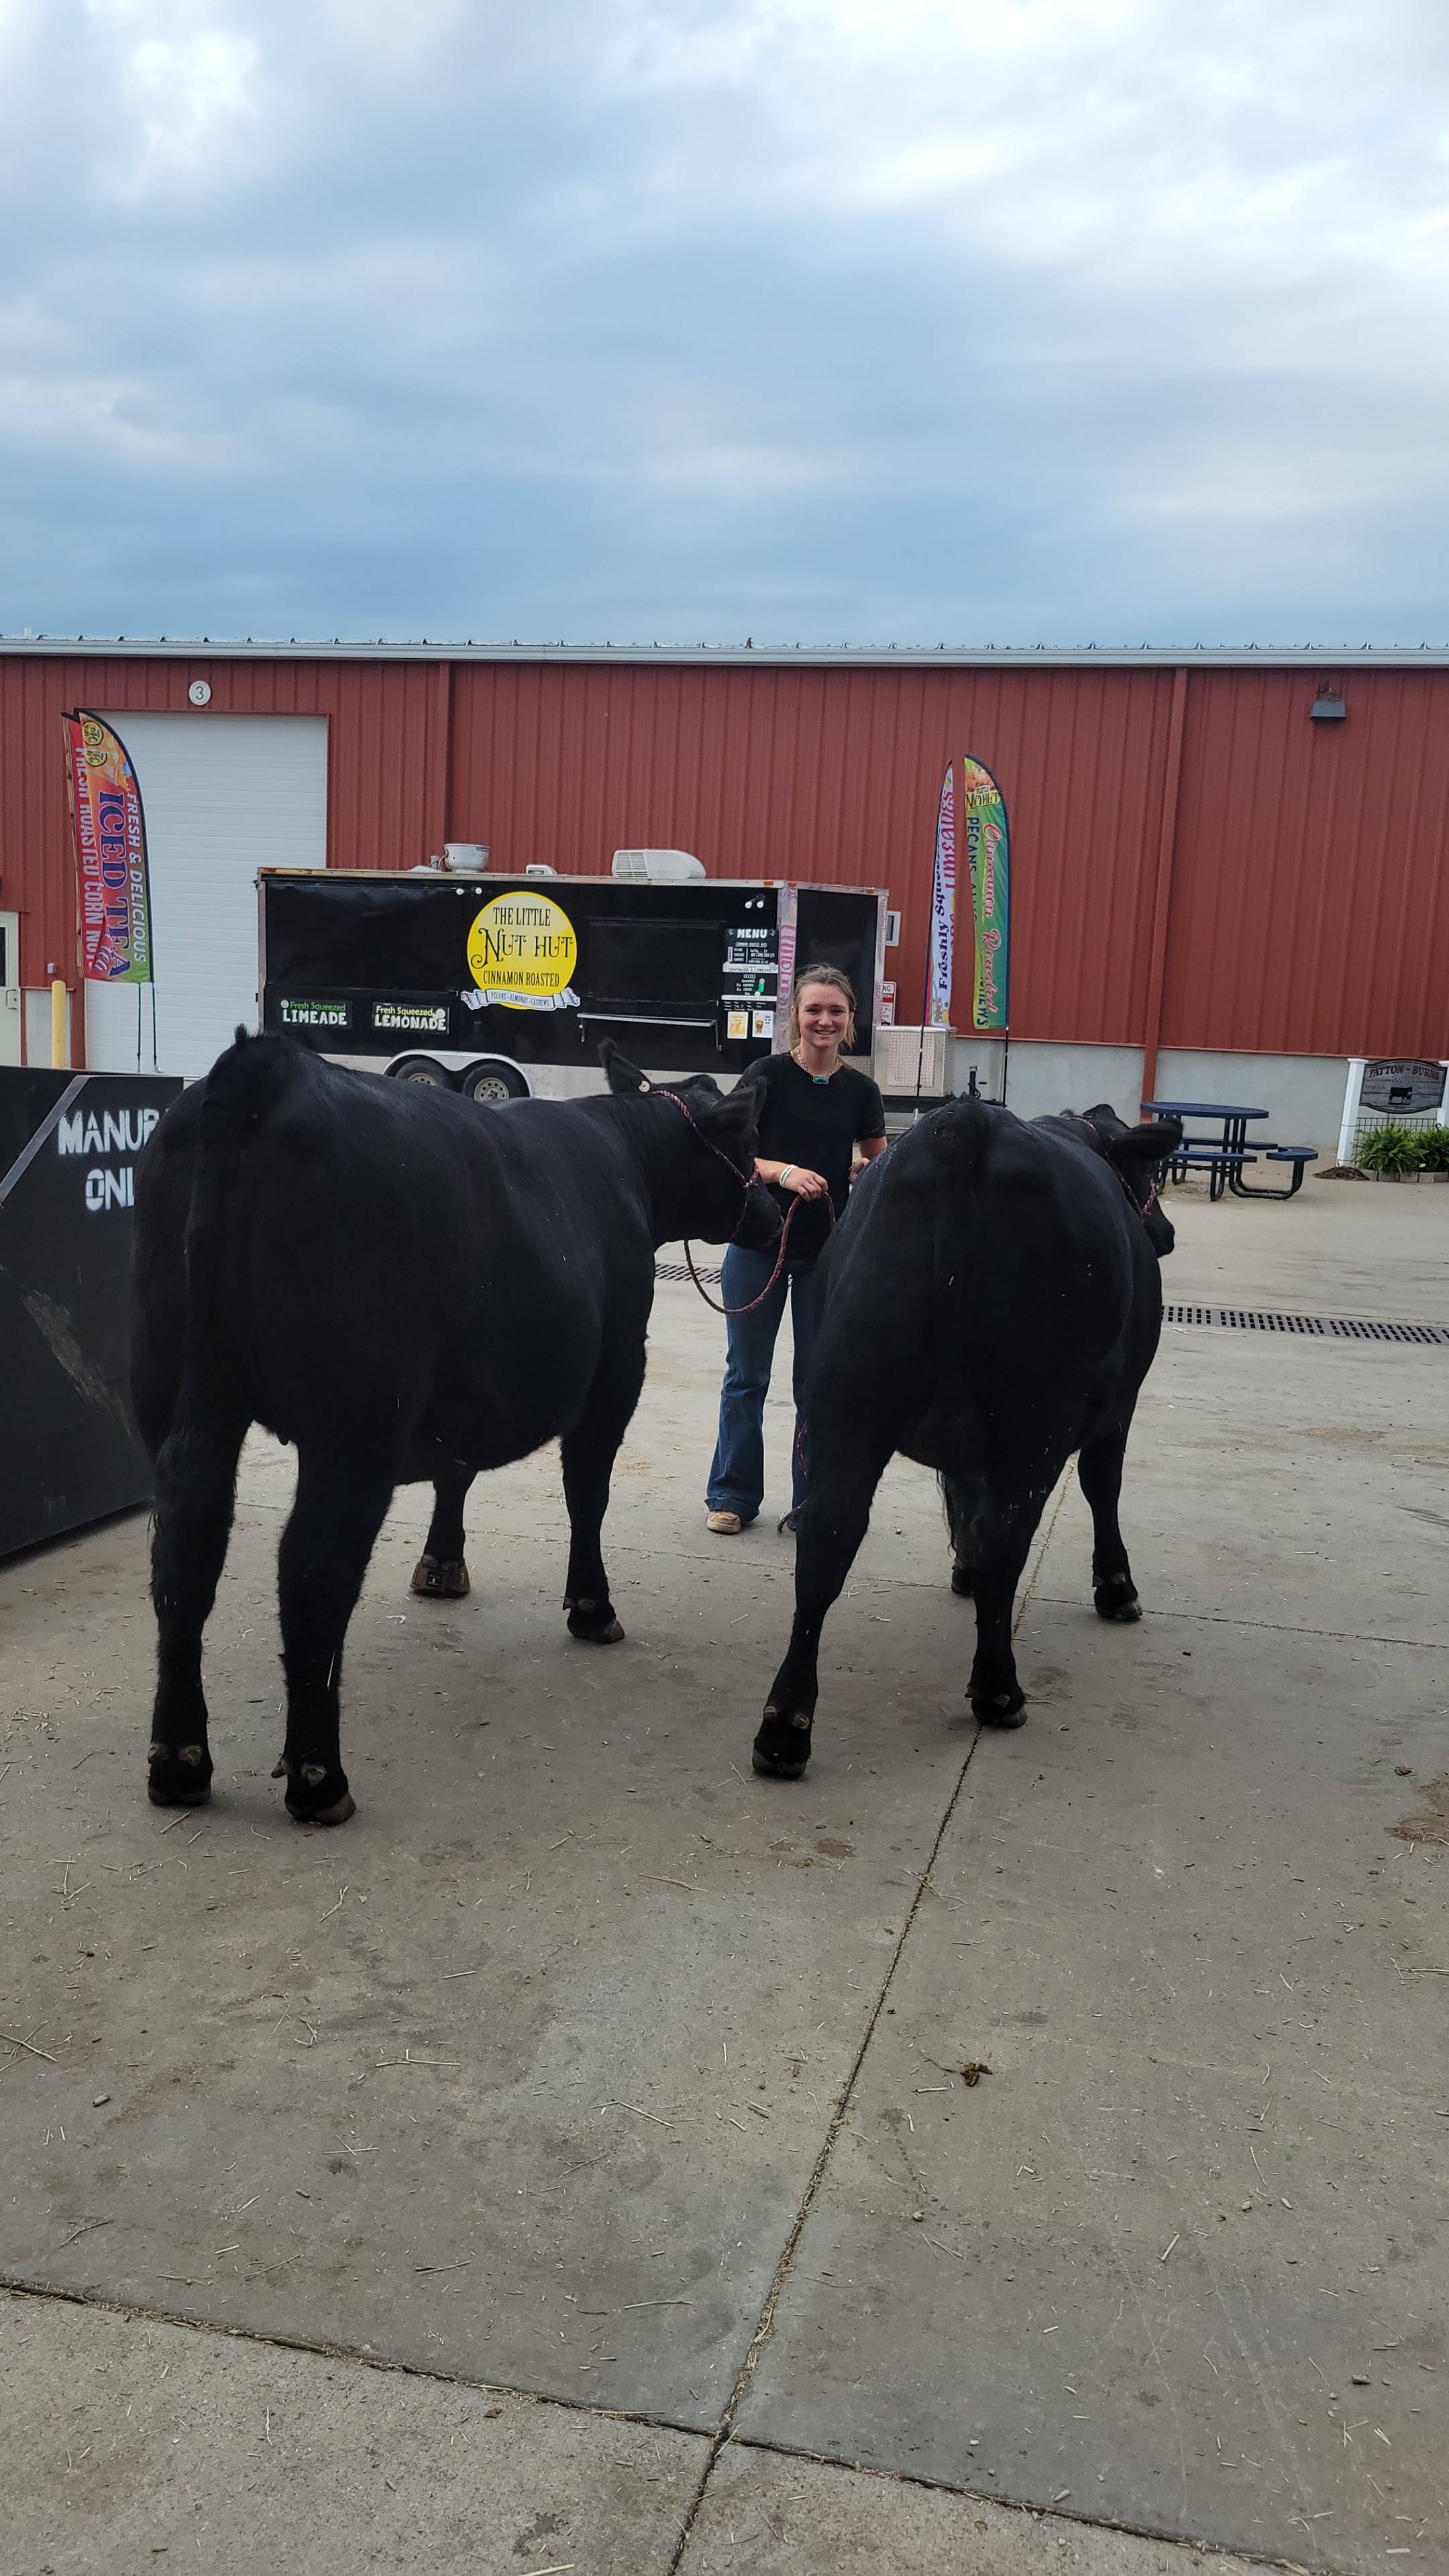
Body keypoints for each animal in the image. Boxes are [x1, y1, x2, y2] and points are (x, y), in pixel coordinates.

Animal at [130, 1032, 778, 1827]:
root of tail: (270, 1066)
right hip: (356, 1420)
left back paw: (179, 1760)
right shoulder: (617, 1368)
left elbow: (455, 1469)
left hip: (179, 1395)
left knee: (184, 1549)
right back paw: (319, 1778)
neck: (626, 1159)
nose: (778, 1215)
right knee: (313, 1563)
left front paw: (442, 1565)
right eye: (748, 1143)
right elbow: (587, 1494)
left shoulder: (470, 1387)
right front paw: (592, 1607)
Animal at [751, 1098, 1182, 1779]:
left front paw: (962, 1571)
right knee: (1008, 1537)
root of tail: (964, 1123)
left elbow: (961, 1502)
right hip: (1030, 1419)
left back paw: (785, 1726)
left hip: (845, 1405)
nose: (1164, 1233)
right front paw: (1116, 1587)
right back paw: (999, 1690)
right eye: (1149, 1176)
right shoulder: (1120, 1402)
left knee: (827, 1538)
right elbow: (1101, 1486)